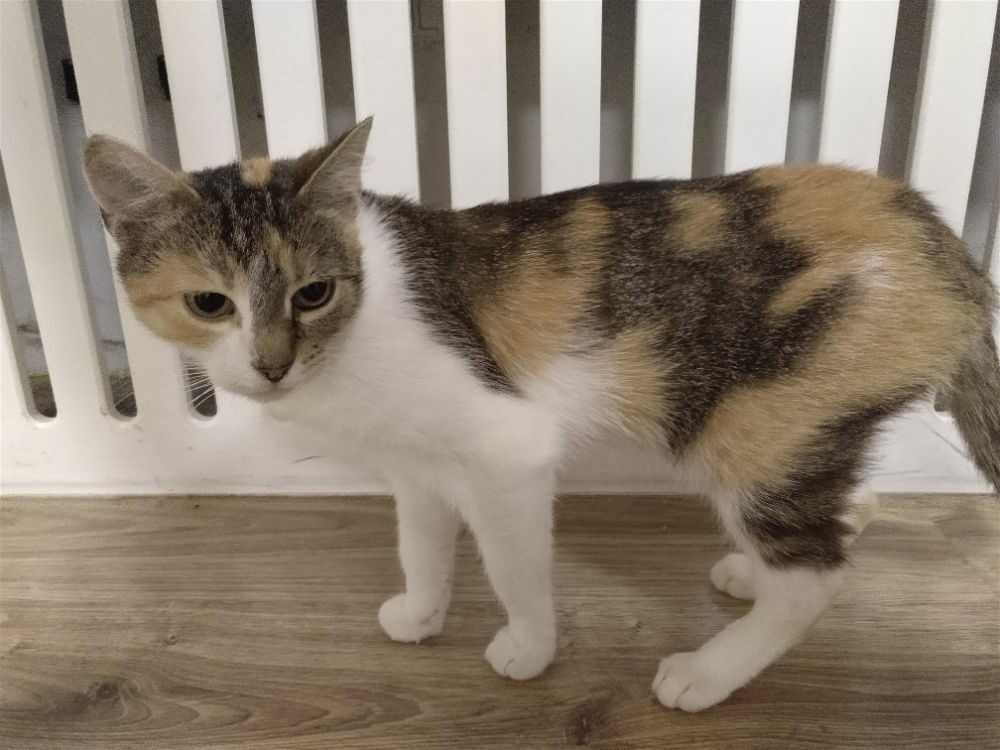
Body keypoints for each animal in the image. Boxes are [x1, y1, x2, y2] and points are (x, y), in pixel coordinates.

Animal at [82, 118, 1000, 712]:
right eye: (210, 303)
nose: (270, 363)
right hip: (805, 434)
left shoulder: (507, 453)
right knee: (849, 508)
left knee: (813, 580)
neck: (364, 315)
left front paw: (528, 648)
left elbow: (513, 569)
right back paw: (749, 572)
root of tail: (934, 235)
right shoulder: (417, 469)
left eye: (314, 292)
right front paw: (421, 613)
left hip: (763, 431)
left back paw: (708, 671)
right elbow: (421, 546)